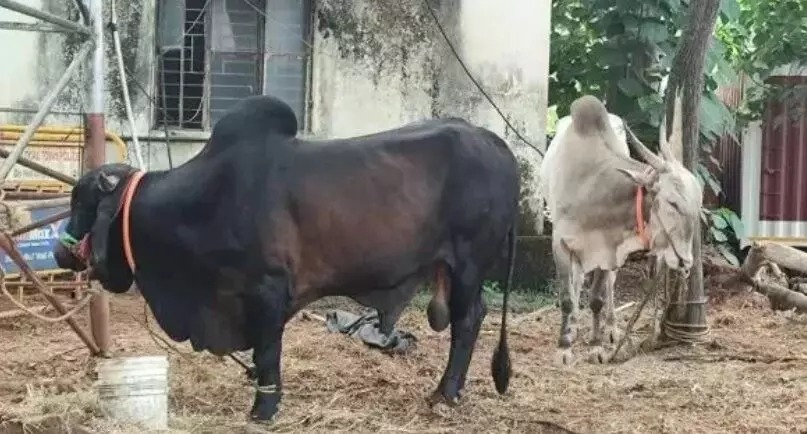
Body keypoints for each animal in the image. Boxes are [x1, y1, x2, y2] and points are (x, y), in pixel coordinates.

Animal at [52, 95, 519, 422]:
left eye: (82, 201)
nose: (59, 251)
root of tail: (496, 143)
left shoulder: (267, 290)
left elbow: (266, 353)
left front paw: (263, 410)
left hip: (468, 264)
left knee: (468, 320)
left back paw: (445, 393)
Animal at [540, 92, 702, 364]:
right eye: (672, 202)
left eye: (698, 202)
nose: (685, 261)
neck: (593, 186)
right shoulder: (560, 244)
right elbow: (567, 299)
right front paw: (564, 347)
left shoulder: (608, 250)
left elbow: (597, 299)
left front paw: (596, 346)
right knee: (577, 282)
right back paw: (573, 327)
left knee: (609, 286)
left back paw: (611, 329)